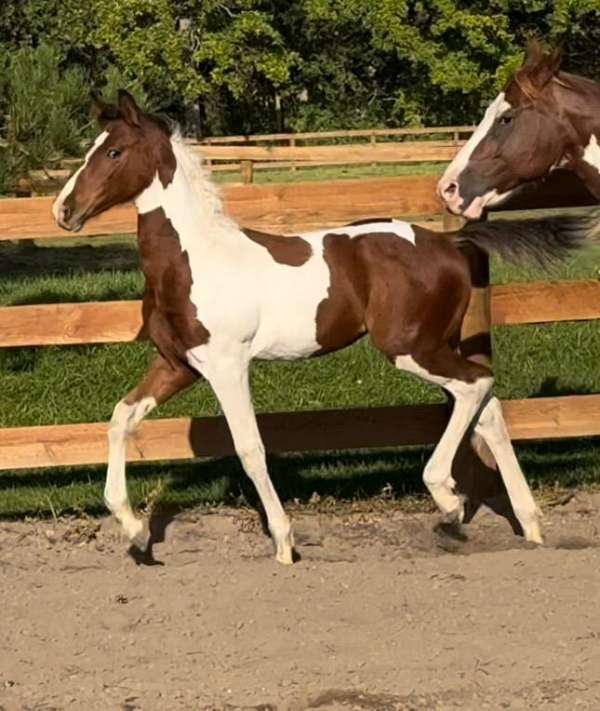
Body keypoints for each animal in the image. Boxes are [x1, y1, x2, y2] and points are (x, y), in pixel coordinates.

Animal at [51, 93, 584, 560]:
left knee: (476, 386)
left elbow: (249, 447)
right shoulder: (176, 364)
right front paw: (136, 530)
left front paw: (284, 543)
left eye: (114, 152)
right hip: (436, 345)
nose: (63, 211)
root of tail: (451, 243)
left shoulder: (227, 365)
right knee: (487, 405)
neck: (195, 260)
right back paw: (530, 525)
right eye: (90, 148)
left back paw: (449, 499)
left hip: (409, 348)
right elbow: (121, 418)